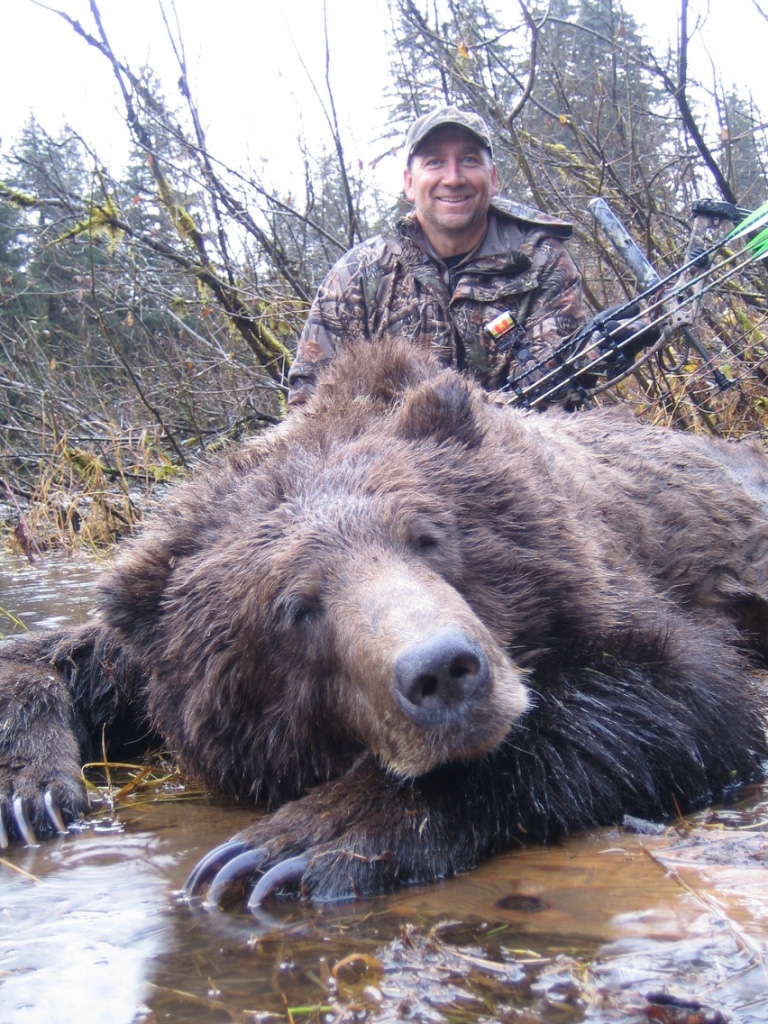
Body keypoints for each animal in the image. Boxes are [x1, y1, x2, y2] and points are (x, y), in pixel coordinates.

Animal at [1, 339, 768, 909]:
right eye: (295, 608)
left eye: (428, 536)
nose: (444, 671)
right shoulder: (147, 643)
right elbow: (59, 657)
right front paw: (30, 793)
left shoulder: (618, 581)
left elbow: (687, 691)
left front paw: (295, 841)